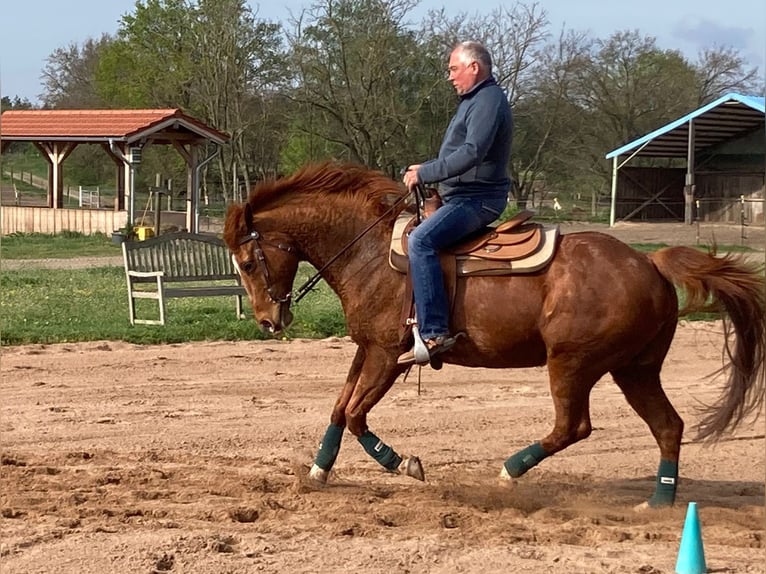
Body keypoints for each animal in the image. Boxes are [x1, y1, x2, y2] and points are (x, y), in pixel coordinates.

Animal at [226, 162, 766, 508]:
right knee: (668, 426)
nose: (268, 321)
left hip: (573, 363)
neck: (371, 251)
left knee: (573, 427)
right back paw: (658, 503)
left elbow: (358, 416)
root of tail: (649, 263)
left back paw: (510, 471)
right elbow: (340, 409)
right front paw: (318, 471)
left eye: (249, 262)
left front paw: (404, 464)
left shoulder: (386, 355)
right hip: (635, 369)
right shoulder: (367, 349)